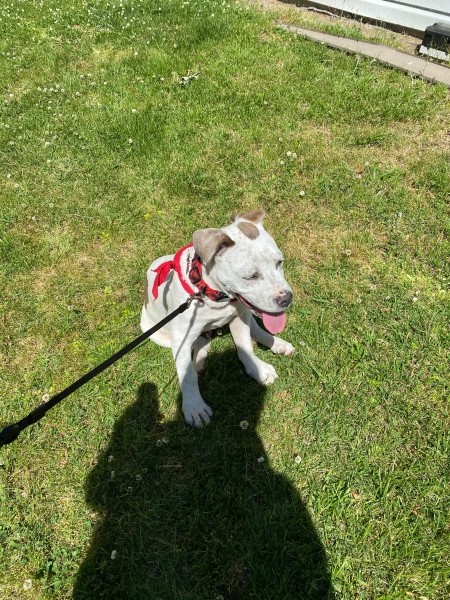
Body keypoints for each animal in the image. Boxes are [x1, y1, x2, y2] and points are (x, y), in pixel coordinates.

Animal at [142, 209, 296, 424]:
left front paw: (258, 369)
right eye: (250, 276)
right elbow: (187, 375)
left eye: (279, 262)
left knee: (253, 330)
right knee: (200, 341)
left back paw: (277, 343)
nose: (286, 298)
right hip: (156, 333)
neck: (211, 293)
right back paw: (198, 360)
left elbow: (245, 347)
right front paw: (194, 407)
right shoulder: (181, 337)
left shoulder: (239, 317)